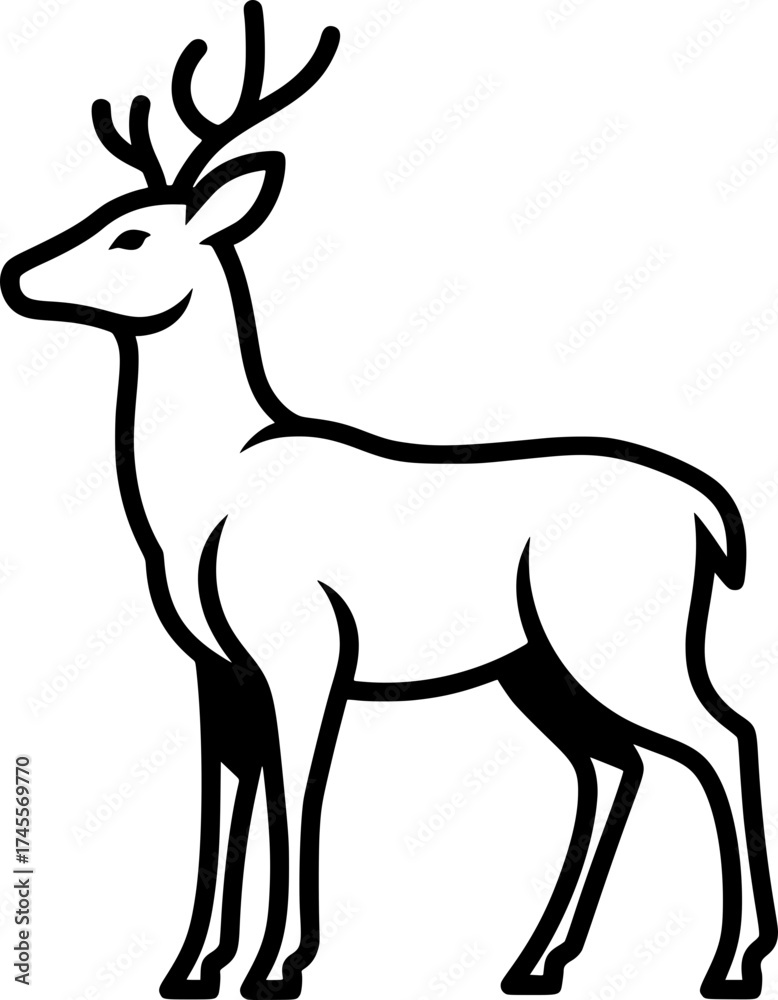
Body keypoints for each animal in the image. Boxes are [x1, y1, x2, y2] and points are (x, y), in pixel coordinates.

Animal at [2, 3, 776, 998]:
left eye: (130, 234)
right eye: (101, 213)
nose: (17, 274)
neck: (203, 501)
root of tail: (712, 516)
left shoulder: (307, 648)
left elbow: (296, 794)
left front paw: (278, 966)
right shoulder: (215, 664)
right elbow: (224, 799)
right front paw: (192, 969)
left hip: (620, 635)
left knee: (724, 737)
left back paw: (733, 963)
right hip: (540, 663)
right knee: (618, 764)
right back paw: (537, 962)